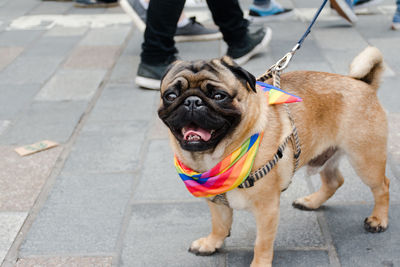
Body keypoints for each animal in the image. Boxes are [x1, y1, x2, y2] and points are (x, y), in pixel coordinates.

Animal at [158, 47, 390, 266]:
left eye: (219, 96)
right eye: (170, 96)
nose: (192, 101)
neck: (216, 158)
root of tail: (363, 83)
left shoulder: (267, 209)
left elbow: (262, 243)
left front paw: (259, 264)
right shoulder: (216, 202)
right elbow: (220, 225)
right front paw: (211, 243)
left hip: (365, 160)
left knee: (382, 187)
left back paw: (378, 219)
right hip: (325, 157)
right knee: (335, 181)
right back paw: (311, 202)